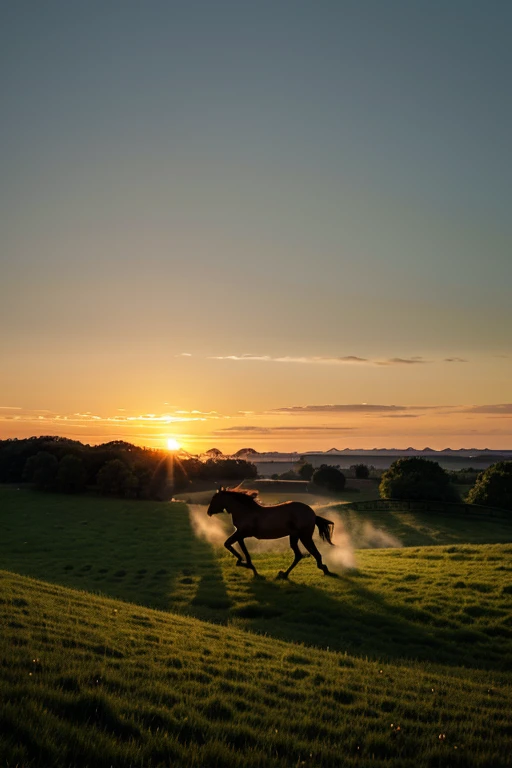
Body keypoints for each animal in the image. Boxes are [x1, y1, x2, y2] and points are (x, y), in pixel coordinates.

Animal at [206, 488, 334, 580]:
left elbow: (227, 544)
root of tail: (313, 514)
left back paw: (324, 569)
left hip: (304, 536)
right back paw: (284, 574)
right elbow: (243, 551)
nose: (208, 512)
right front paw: (251, 567)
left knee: (313, 554)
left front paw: (242, 563)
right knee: (299, 555)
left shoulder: (242, 533)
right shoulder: (240, 535)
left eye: (214, 498)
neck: (245, 511)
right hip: (295, 537)